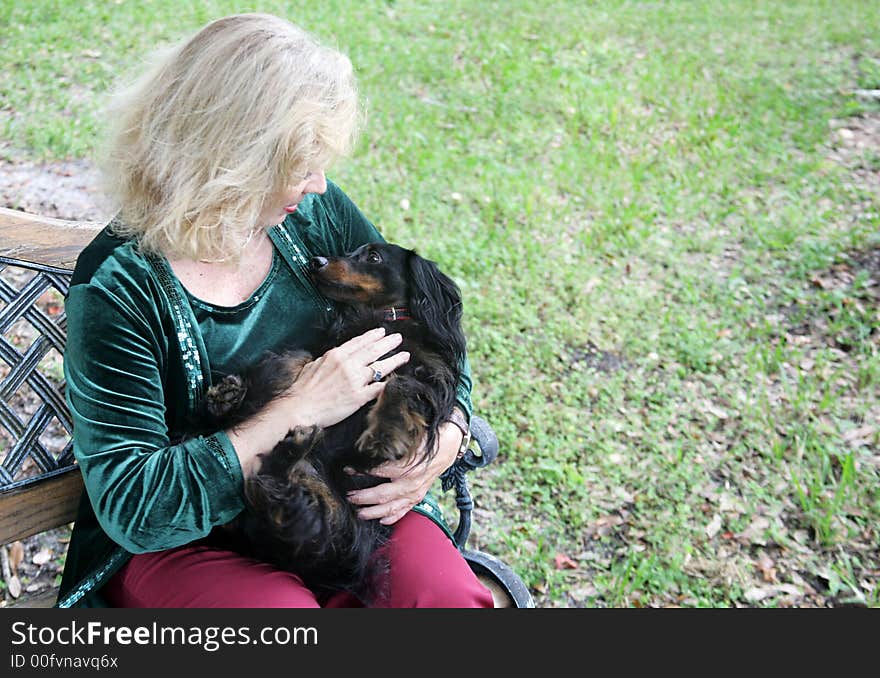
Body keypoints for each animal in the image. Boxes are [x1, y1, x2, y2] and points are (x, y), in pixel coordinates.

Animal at [194, 242, 468, 604]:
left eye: (374, 257)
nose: (316, 261)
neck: (381, 319)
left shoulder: (429, 381)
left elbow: (400, 386)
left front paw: (384, 436)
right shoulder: (332, 350)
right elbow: (297, 359)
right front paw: (251, 388)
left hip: (338, 519)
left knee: (285, 503)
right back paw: (235, 405)